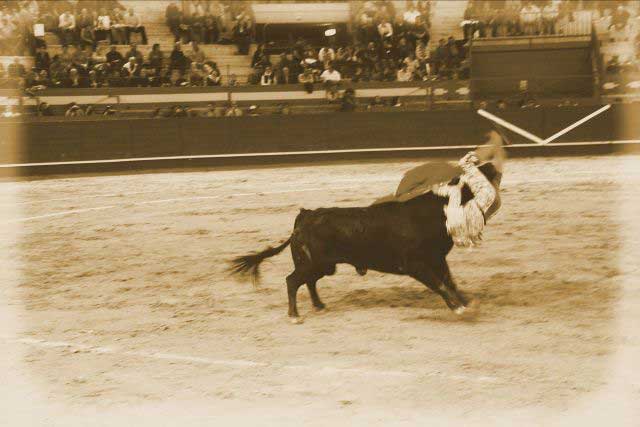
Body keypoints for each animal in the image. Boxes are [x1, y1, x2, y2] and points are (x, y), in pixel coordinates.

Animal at [228, 163, 502, 320]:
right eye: (474, 178)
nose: (491, 164)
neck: (434, 211)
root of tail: (305, 216)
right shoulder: (416, 265)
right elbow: (441, 285)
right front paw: (459, 309)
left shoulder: (437, 260)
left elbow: (451, 282)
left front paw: (467, 303)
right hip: (313, 263)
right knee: (293, 280)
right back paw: (295, 315)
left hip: (324, 266)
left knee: (309, 282)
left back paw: (320, 306)